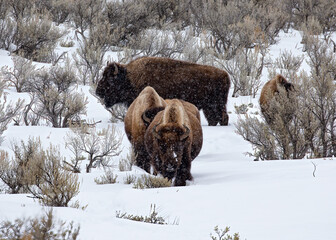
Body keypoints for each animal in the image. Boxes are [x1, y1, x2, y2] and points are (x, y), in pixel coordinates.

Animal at [96, 56, 230, 125]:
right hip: (210, 107)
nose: (98, 91)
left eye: (110, 79)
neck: (129, 78)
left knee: (223, 118)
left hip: (216, 104)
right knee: (214, 118)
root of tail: (226, 75)